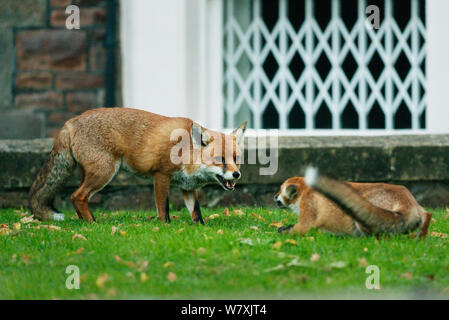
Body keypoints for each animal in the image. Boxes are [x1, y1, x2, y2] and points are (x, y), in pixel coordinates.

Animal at [29, 107, 247, 222]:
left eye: (236, 159)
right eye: (219, 159)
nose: (237, 175)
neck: (185, 151)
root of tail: (71, 121)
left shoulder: (187, 186)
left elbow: (196, 212)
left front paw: (200, 229)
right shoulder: (161, 176)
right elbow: (163, 209)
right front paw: (165, 228)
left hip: (93, 173)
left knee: (76, 198)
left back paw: (84, 222)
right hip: (104, 173)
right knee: (77, 196)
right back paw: (93, 224)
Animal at [272, 168, 430, 238]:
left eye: (279, 189)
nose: (274, 196)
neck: (306, 191)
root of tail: (409, 203)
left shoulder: (308, 210)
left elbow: (299, 228)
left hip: (361, 215)